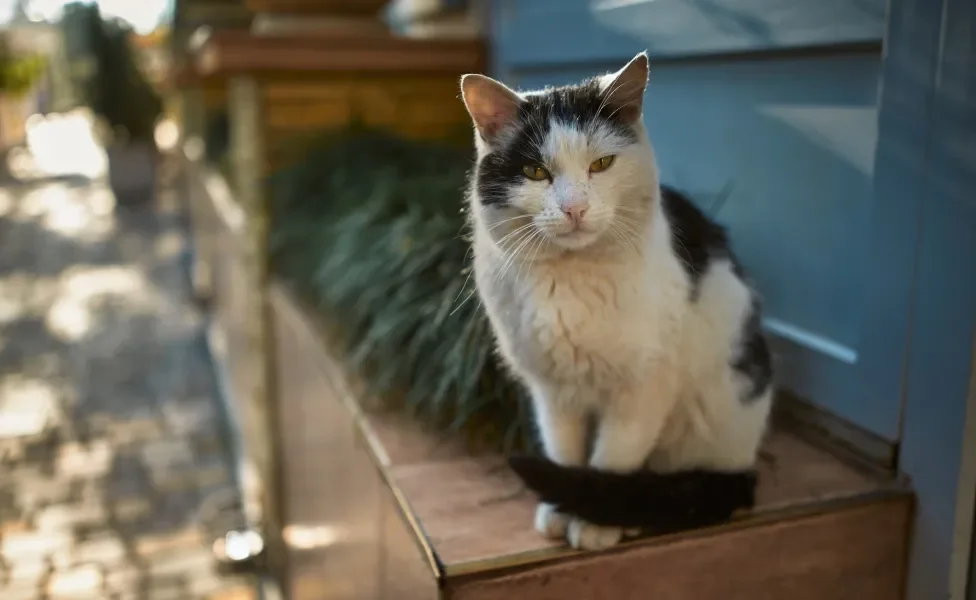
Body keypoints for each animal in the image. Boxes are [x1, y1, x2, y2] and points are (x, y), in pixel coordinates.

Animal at [462, 54, 772, 552]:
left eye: (602, 164)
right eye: (535, 172)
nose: (574, 209)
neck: (570, 278)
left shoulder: (644, 387)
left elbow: (614, 456)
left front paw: (593, 523)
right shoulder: (552, 390)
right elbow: (564, 452)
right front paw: (560, 509)